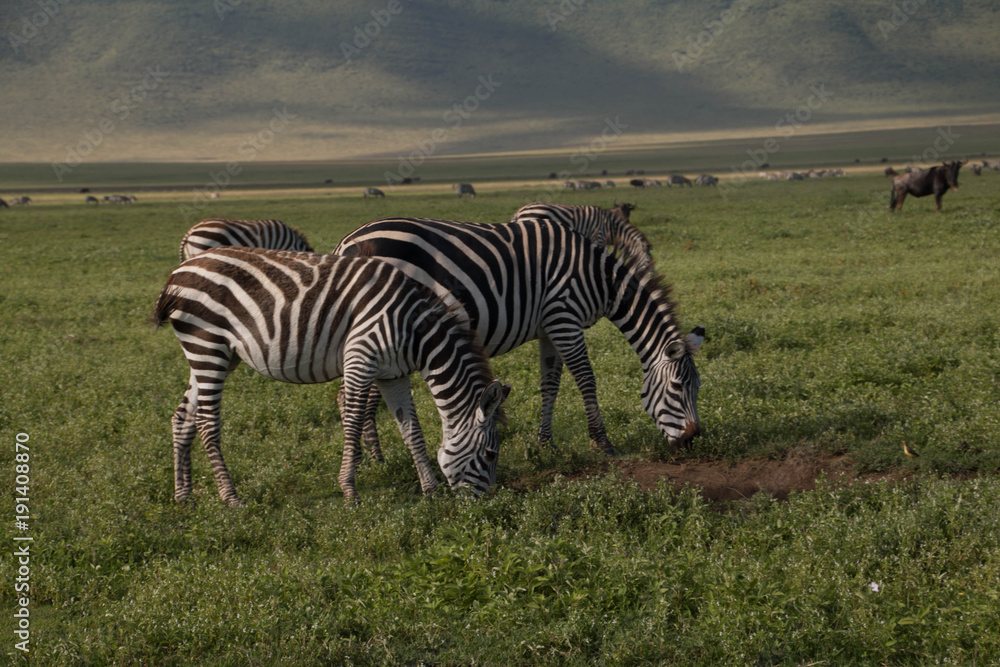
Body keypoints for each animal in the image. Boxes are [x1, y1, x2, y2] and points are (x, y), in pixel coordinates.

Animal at [152, 247, 509, 505]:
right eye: (491, 454)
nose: (485, 506)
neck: (415, 330)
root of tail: (179, 271)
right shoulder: (360, 358)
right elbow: (352, 421)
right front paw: (350, 490)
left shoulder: (393, 375)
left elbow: (412, 431)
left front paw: (430, 488)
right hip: (207, 346)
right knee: (207, 422)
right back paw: (231, 498)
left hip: (216, 356)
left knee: (183, 417)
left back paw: (184, 496)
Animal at [334, 217, 703, 457]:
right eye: (676, 388)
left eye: (697, 388)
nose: (692, 441)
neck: (601, 280)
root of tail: (347, 242)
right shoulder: (564, 317)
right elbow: (586, 378)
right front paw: (602, 442)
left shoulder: (549, 327)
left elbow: (550, 383)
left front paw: (545, 443)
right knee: (353, 395)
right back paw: (376, 461)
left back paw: (376, 460)